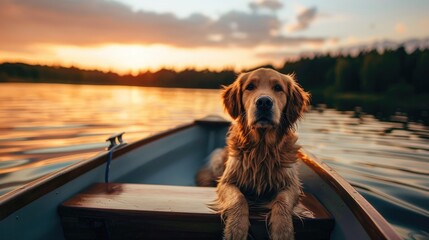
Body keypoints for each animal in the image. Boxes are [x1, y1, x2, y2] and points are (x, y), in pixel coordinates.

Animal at [196, 68, 310, 240]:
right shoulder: (227, 181)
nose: (264, 102)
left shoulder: (292, 184)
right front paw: (236, 228)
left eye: (278, 88)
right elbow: (238, 198)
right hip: (217, 157)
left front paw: (283, 230)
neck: (261, 148)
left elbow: (282, 201)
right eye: (250, 87)